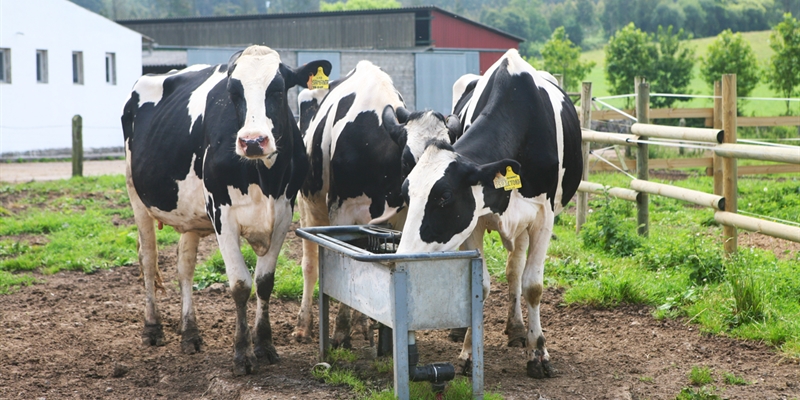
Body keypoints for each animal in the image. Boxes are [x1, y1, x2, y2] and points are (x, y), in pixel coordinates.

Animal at [119, 46, 332, 376]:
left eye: (278, 89)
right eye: (233, 92)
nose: (253, 141)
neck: (262, 177)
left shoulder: (283, 214)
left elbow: (264, 282)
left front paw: (264, 345)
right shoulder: (222, 215)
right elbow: (241, 284)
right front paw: (242, 354)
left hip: (190, 215)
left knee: (184, 266)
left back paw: (190, 334)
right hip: (136, 193)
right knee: (148, 258)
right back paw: (152, 328)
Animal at [294, 61, 460, 346]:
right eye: (407, 159)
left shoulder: (402, 217)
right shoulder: (341, 211)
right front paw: (340, 330)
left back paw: (363, 326)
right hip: (309, 204)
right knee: (310, 264)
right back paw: (304, 326)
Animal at [398, 49, 580, 378]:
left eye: (444, 196)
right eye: (407, 191)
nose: (404, 257)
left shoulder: (543, 218)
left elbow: (533, 285)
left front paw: (538, 353)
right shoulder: (475, 221)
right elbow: (478, 286)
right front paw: (469, 353)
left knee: (515, 269)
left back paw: (518, 329)